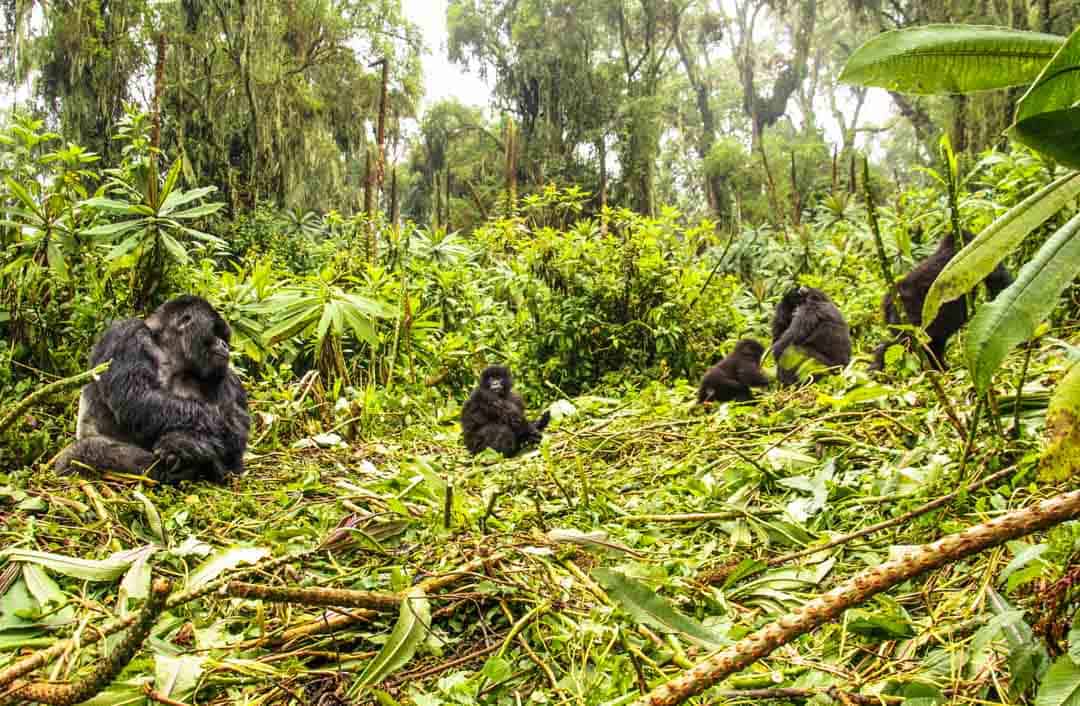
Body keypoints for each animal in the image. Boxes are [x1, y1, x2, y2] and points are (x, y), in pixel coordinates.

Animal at [55, 296, 250, 484]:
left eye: (224, 336)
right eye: (215, 332)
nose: (225, 345)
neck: (168, 349)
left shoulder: (224, 375)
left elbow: (236, 440)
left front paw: (187, 442)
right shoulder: (125, 332)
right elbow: (135, 397)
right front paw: (216, 428)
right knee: (86, 452)